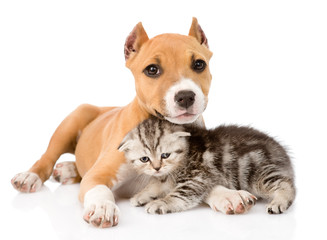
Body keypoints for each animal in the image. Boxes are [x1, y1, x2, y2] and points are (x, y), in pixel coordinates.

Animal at [10, 17, 213, 228]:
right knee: (48, 157)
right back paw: (30, 176)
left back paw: (67, 170)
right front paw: (103, 207)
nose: (186, 96)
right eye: (152, 70)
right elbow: (100, 189)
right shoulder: (98, 174)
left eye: (199, 64)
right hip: (74, 119)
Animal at [118, 117, 298, 215]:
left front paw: (160, 203)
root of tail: (281, 152)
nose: (156, 168)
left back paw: (278, 202)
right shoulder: (166, 178)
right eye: (144, 159)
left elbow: (179, 195)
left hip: (256, 172)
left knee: (285, 184)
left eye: (165, 155)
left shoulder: (196, 178)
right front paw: (141, 195)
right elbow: (155, 184)